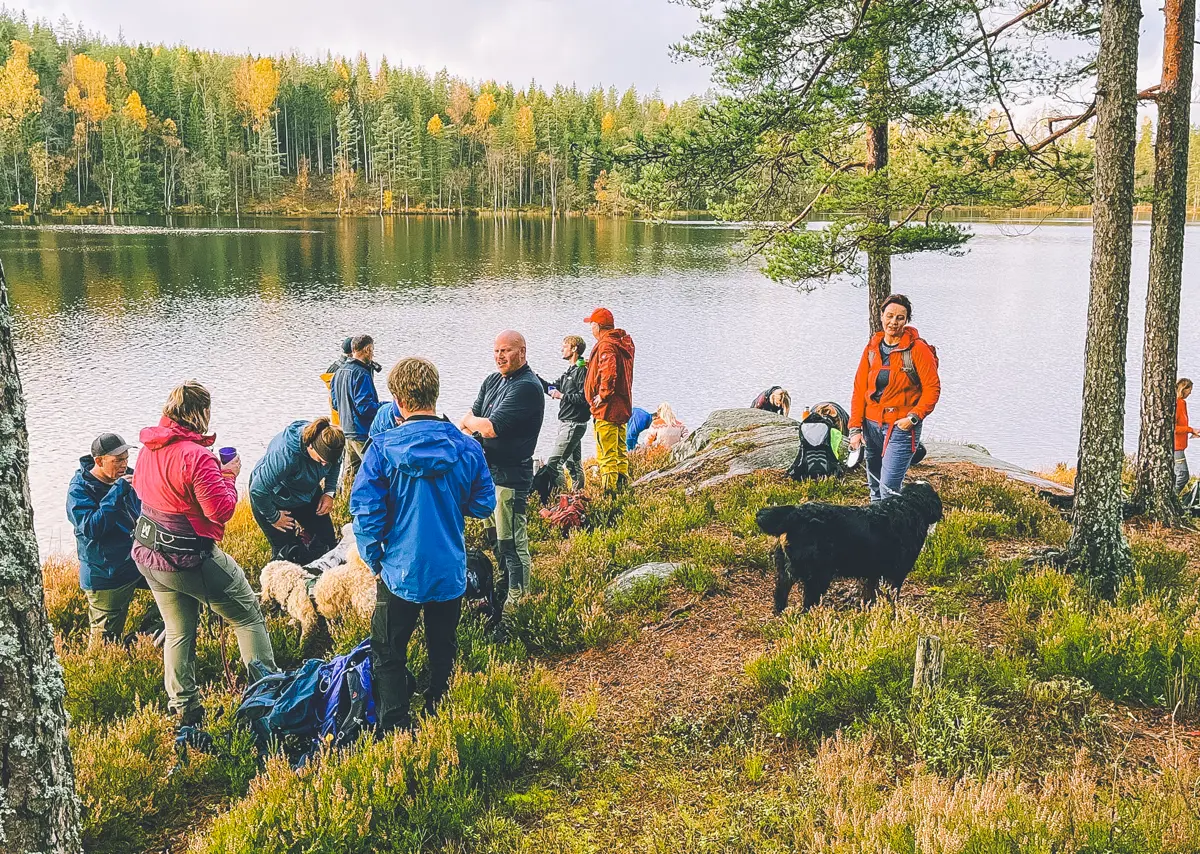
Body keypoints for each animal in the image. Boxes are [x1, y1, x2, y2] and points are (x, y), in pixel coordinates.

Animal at [753, 479, 940, 614]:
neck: (908, 505)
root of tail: (795, 513)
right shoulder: (895, 574)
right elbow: (890, 597)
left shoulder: (873, 574)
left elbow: (870, 595)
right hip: (818, 576)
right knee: (807, 605)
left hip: (786, 572)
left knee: (780, 595)